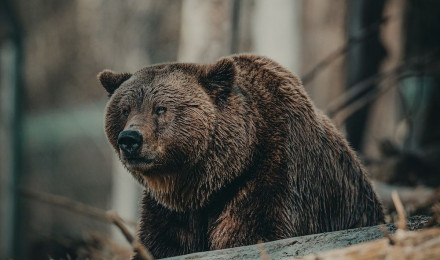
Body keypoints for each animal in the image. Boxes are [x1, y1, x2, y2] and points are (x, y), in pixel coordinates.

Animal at [98, 54, 384, 258]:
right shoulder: (172, 210)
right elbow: (161, 243)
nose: (130, 139)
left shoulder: (272, 173)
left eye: (161, 108)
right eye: (125, 109)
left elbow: (254, 232)